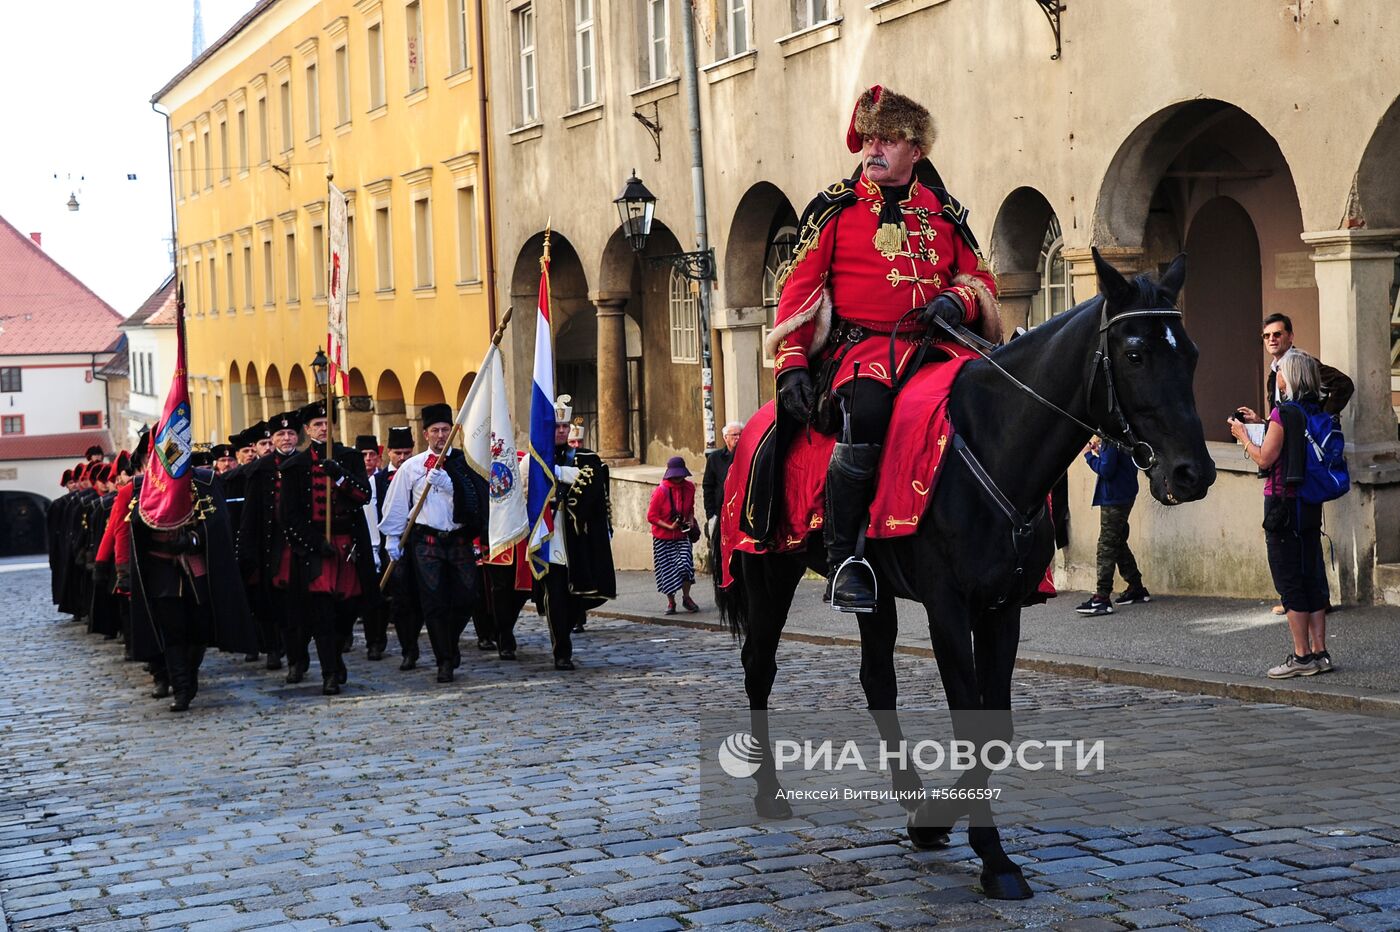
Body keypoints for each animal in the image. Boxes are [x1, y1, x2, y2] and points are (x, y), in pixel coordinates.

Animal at [722, 250, 1215, 895]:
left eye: (1191, 353)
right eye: (1134, 354)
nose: (1193, 472)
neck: (995, 444)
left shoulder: (1002, 607)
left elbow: (995, 733)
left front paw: (937, 822)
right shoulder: (949, 608)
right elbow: (972, 727)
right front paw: (992, 857)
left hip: (874, 594)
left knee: (877, 678)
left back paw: (911, 796)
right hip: (768, 572)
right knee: (760, 667)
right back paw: (769, 795)